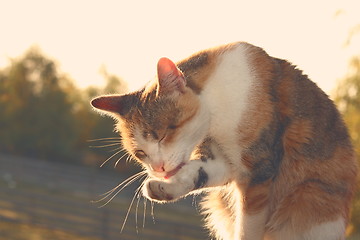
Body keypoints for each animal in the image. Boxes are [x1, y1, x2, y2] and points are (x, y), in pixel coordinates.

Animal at [90, 42, 358, 240]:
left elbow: (248, 226)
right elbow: (199, 172)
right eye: (140, 153)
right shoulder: (225, 163)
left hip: (310, 197)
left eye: (164, 133)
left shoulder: (259, 168)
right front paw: (161, 188)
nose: (159, 169)